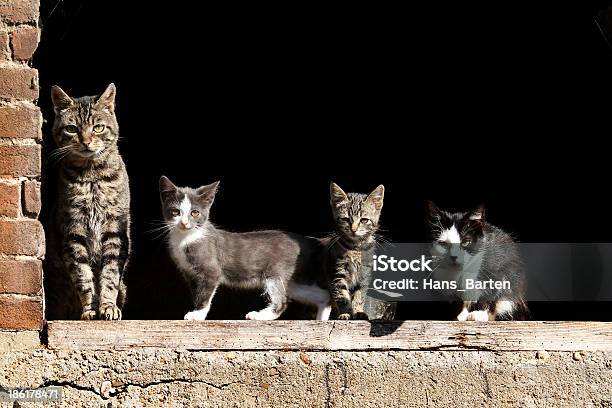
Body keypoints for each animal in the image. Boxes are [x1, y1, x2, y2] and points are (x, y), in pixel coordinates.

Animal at [44, 84, 129, 320]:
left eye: (98, 128)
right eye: (72, 129)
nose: (86, 141)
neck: (92, 176)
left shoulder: (115, 229)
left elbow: (110, 274)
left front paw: (108, 306)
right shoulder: (73, 231)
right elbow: (83, 276)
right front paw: (90, 309)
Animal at [158, 177, 330, 320]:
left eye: (195, 213)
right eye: (175, 212)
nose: (184, 223)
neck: (185, 239)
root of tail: (307, 239)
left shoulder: (211, 271)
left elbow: (205, 295)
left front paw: (198, 315)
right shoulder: (189, 274)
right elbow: (197, 293)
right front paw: (196, 311)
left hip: (275, 271)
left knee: (282, 300)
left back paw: (259, 316)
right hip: (293, 281)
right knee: (323, 295)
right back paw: (321, 320)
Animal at [322, 183, 394, 320]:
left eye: (364, 220)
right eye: (345, 219)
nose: (353, 229)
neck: (355, 248)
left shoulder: (364, 275)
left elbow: (359, 295)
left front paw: (358, 312)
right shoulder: (337, 272)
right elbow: (342, 295)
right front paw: (346, 313)